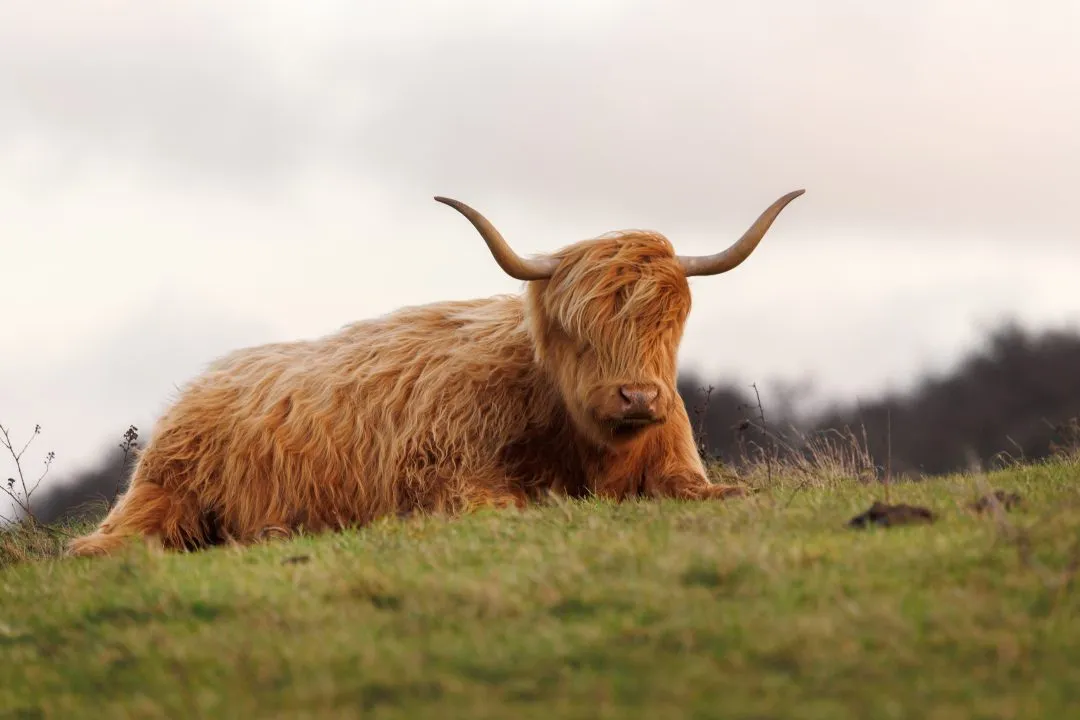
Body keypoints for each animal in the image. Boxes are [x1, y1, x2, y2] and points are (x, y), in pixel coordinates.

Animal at [66, 189, 805, 557]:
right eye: (576, 329)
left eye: (669, 322)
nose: (638, 395)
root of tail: (206, 379)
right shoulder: (449, 476)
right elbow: (511, 507)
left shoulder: (681, 470)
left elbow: (729, 494)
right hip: (161, 490)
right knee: (100, 545)